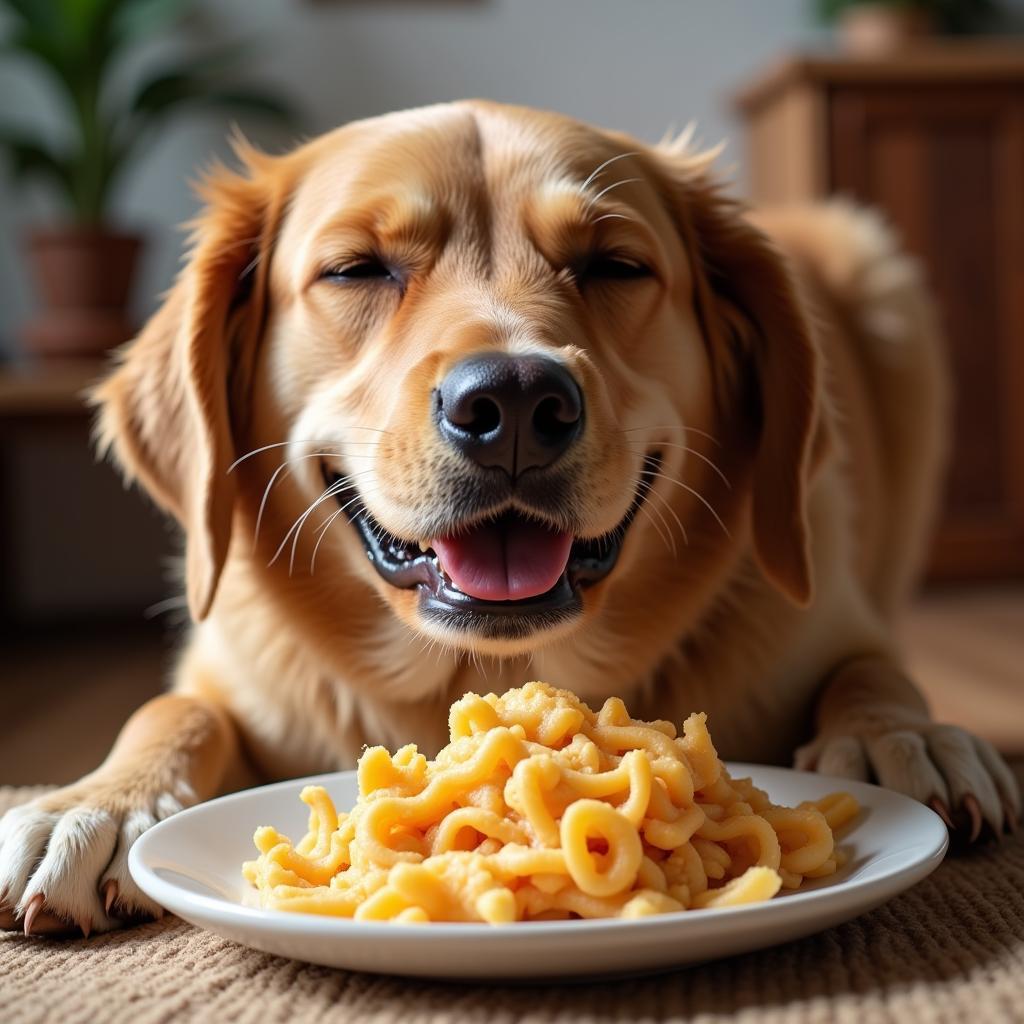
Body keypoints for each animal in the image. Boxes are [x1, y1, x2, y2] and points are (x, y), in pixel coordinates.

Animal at [0, 97, 1015, 937]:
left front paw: (902, 741)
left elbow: (875, 673)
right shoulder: (224, 671)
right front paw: (96, 802)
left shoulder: (835, 622)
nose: (516, 401)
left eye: (614, 264)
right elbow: (171, 710)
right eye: (355, 269)